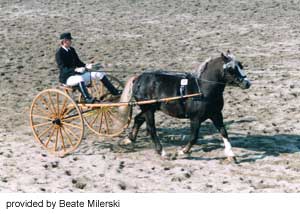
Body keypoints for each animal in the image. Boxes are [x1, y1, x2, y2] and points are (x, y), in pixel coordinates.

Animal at [122, 51, 251, 162]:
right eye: (231, 69)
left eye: (241, 65)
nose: (247, 83)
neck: (203, 89)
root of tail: (138, 78)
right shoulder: (195, 118)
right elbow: (194, 137)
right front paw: (182, 151)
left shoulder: (216, 114)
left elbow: (224, 132)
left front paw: (231, 155)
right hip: (148, 109)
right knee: (151, 128)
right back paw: (162, 152)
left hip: (149, 108)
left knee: (138, 118)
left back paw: (129, 139)